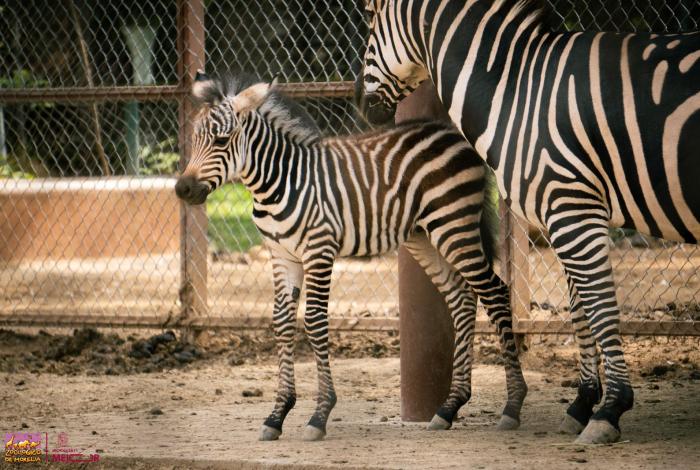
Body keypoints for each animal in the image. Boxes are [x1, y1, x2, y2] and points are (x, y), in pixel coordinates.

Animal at [175, 71, 528, 441]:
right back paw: (449, 407)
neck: (277, 183)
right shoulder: (282, 256)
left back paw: (512, 406)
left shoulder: (319, 249)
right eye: (195, 138)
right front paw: (277, 415)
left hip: (453, 224)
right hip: (424, 235)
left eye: (222, 140)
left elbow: (314, 321)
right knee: (461, 299)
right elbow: (281, 322)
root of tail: (453, 134)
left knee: (495, 292)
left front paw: (319, 415)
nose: (182, 189)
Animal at [356, 0, 700, 444]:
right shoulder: (567, 211)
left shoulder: (571, 205)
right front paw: (582, 404)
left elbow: (601, 306)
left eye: (370, 20)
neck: (516, 90)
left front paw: (610, 409)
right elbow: (580, 310)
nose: (363, 108)